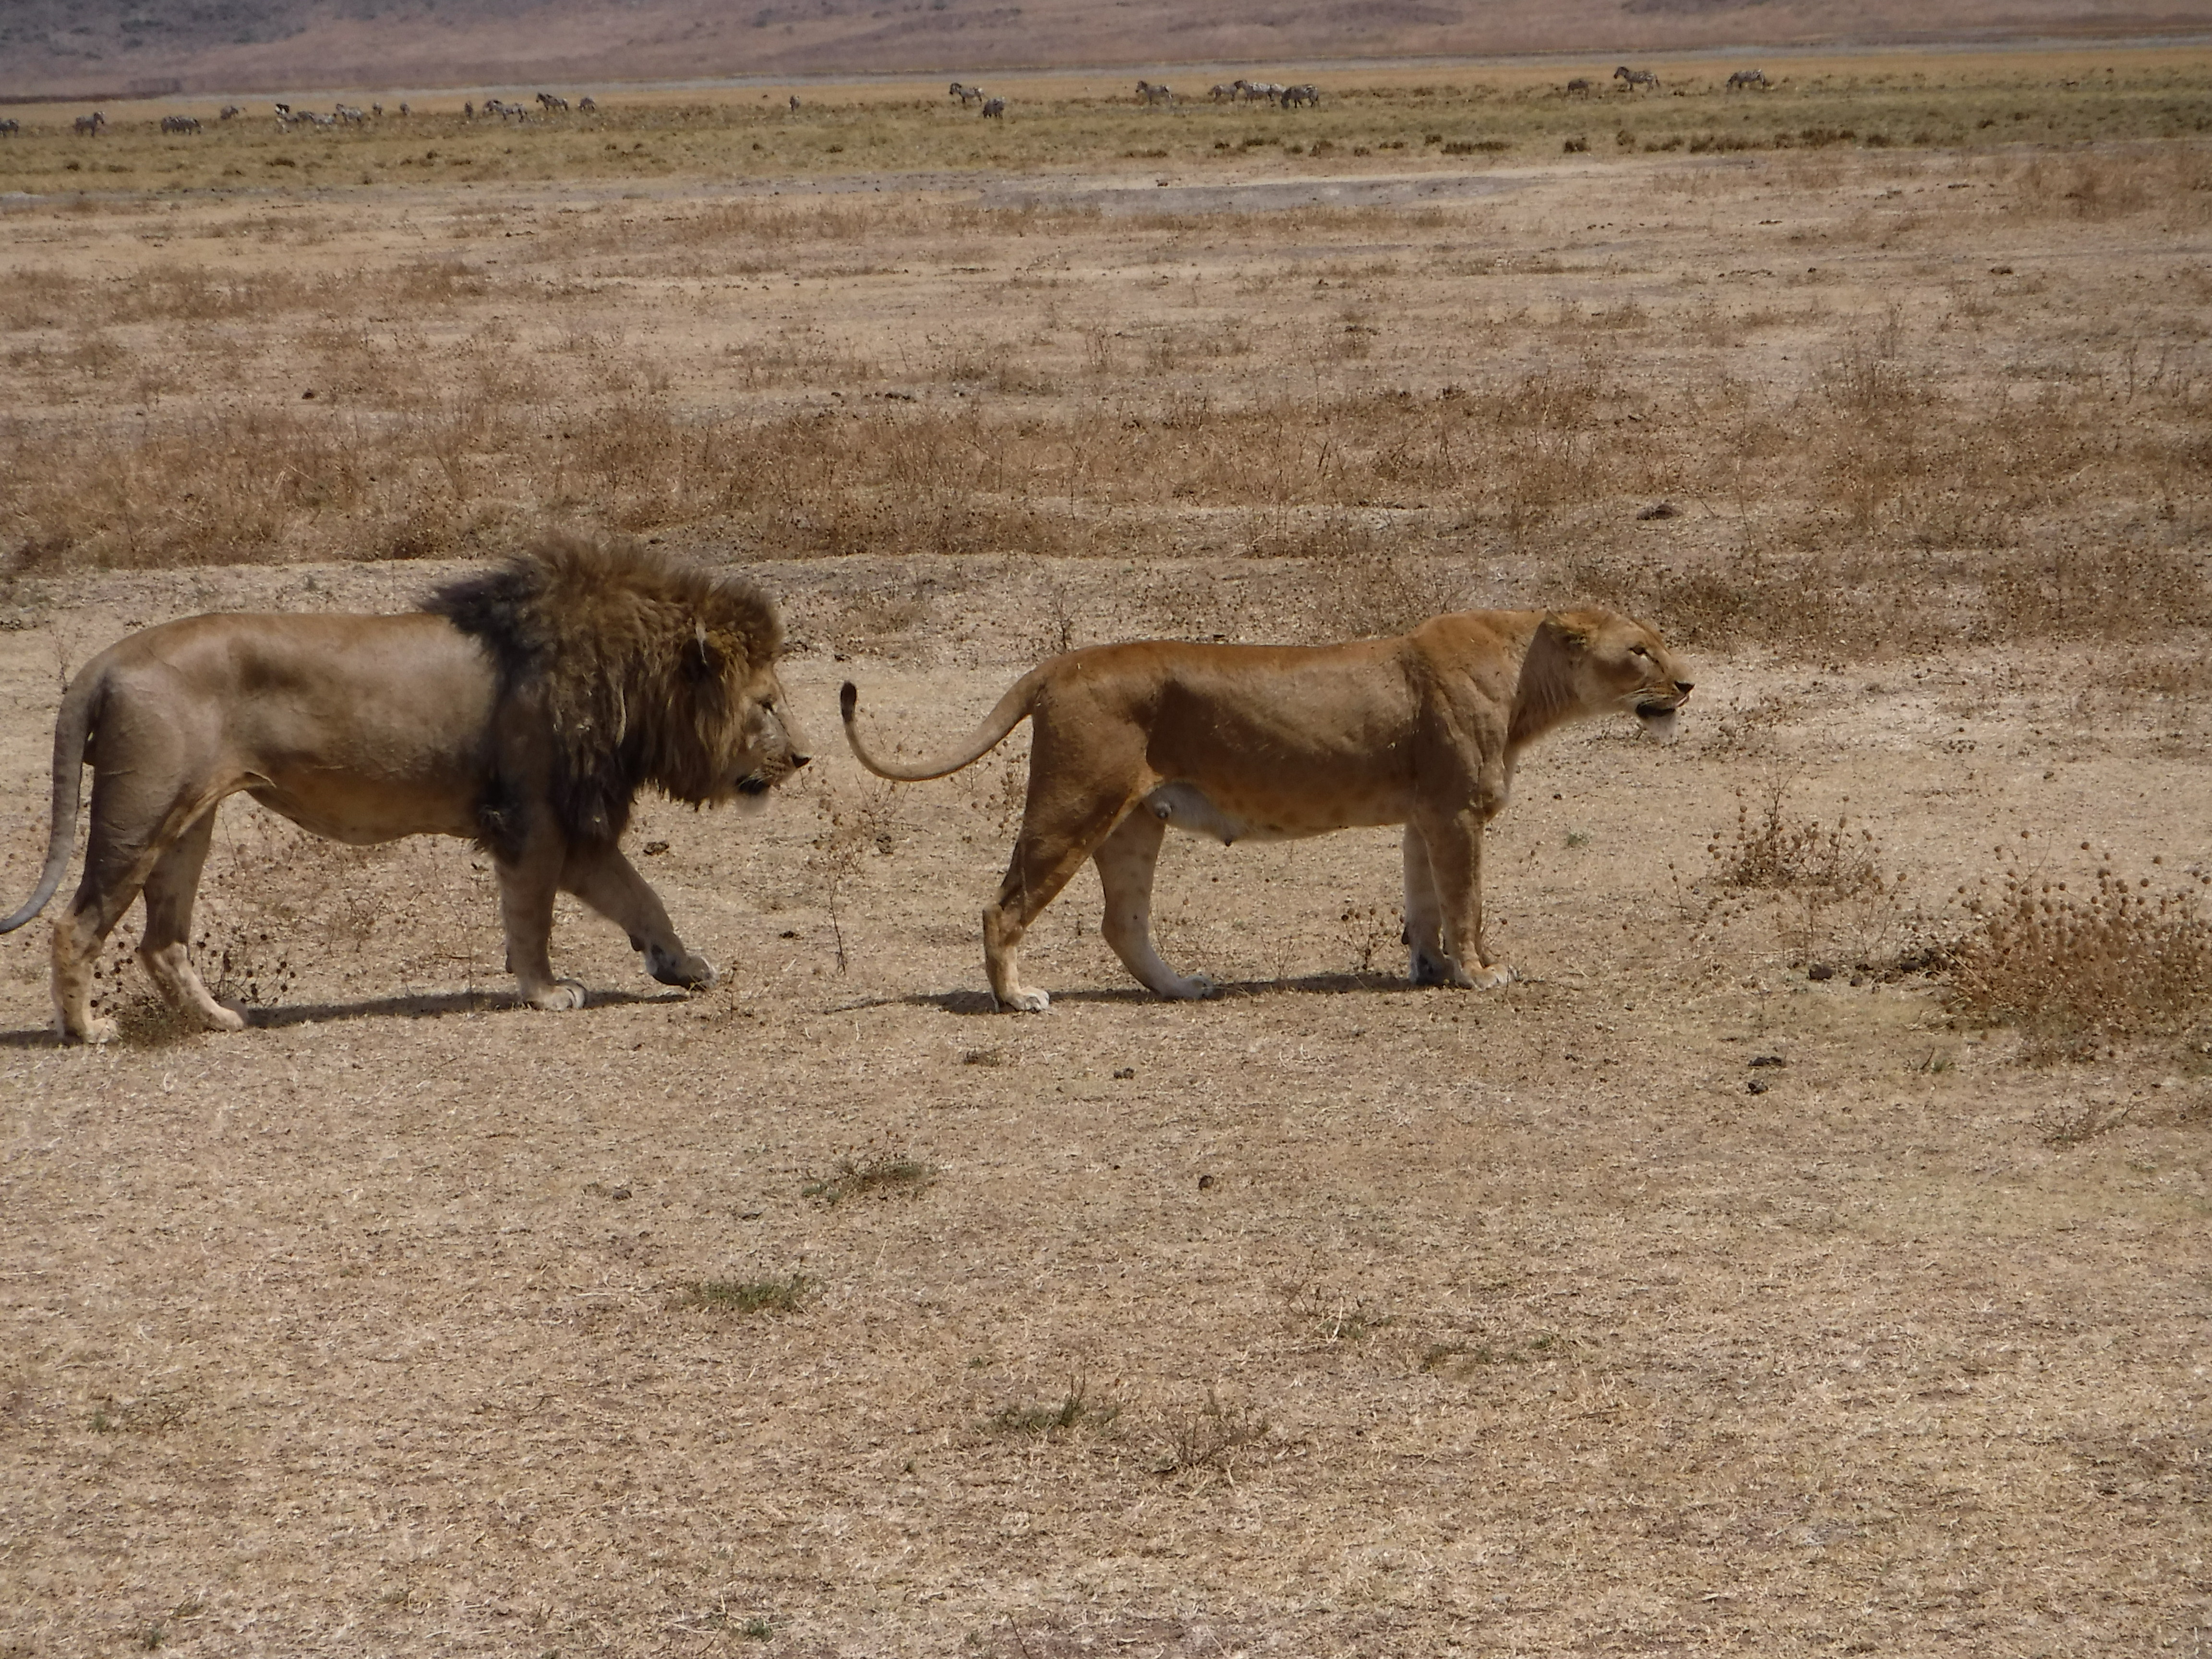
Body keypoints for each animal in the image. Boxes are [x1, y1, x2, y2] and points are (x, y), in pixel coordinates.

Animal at [2, 532, 811, 1043]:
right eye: (767, 704)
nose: (804, 758)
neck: (632, 685)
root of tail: (108, 659)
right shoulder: (532, 820)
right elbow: (534, 919)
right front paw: (546, 993)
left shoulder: (576, 828)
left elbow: (644, 900)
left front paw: (683, 967)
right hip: (139, 813)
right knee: (76, 925)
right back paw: (86, 1031)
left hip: (187, 823)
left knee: (160, 942)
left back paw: (220, 1021)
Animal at [841, 607, 1691, 1011]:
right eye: (1640, 651)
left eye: (1660, 643)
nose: (1687, 685)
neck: (1527, 683)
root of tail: (1058, 664)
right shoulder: (1459, 811)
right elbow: (1467, 902)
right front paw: (1480, 974)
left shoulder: (1426, 813)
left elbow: (1424, 902)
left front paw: (1432, 970)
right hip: (1073, 802)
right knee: (1004, 906)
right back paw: (1016, 999)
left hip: (1132, 822)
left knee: (1123, 923)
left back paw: (1182, 989)